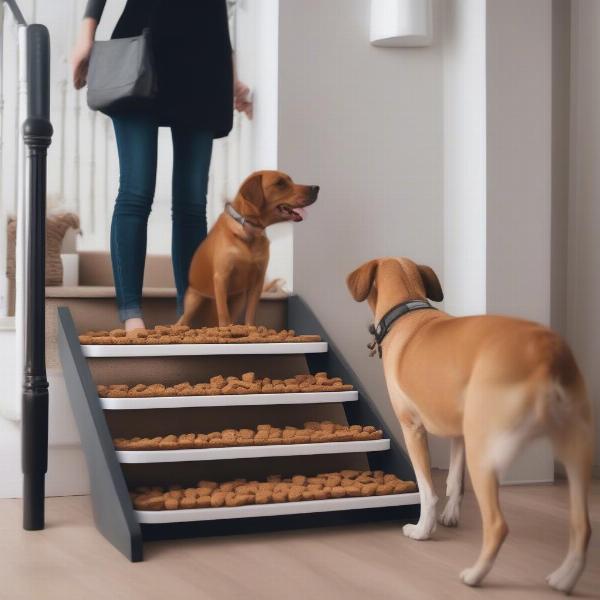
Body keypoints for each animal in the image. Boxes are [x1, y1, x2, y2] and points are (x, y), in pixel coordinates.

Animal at [178, 169, 318, 328]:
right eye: (280, 183)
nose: (316, 187)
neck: (249, 230)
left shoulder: (258, 280)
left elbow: (250, 312)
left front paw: (250, 330)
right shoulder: (221, 277)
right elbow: (223, 314)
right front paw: (226, 329)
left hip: (238, 300)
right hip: (194, 302)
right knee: (181, 322)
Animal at [344, 256, 592, 596]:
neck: (407, 309)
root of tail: (545, 352)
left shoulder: (413, 429)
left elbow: (427, 489)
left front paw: (423, 530)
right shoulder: (458, 432)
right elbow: (454, 481)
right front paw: (450, 516)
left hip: (484, 451)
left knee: (498, 525)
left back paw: (475, 576)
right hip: (575, 452)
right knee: (582, 525)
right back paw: (564, 578)